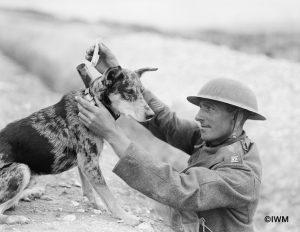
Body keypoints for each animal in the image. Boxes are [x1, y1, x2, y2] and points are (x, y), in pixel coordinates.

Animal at [0, 63, 157, 225]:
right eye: (129, 91)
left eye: (142, 92)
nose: (152, 115)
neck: (93, 100)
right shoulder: (89, 162)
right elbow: (108, 195)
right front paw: (126, 216)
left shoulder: (85, 163)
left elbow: (90, 190)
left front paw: (97, 206)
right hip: (22, 169)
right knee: (2, 210)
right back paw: (15, 217)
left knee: (12, 201)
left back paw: (31, 192)